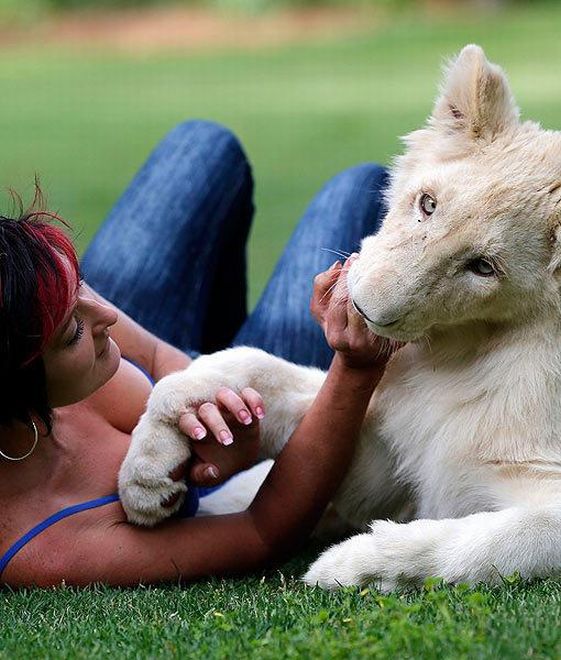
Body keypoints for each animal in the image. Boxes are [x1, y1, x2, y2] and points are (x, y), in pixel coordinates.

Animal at [118, 45, 561, 590]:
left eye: (483, 267)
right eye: (427, 204)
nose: (364, 306)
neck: (458, 355)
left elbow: (495, 540)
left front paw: (354, 566)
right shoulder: (379, 456)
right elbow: (256, 367)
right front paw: (154, 461)